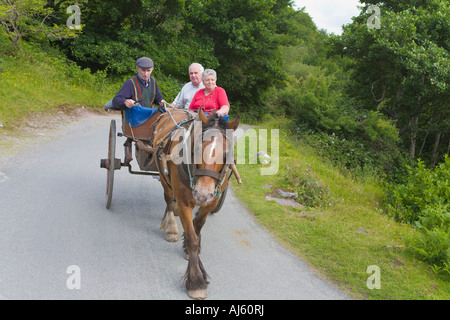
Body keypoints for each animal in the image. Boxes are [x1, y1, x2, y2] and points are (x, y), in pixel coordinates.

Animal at [152, 108, 239, 300]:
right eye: (197, 148)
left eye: (226, 155)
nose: (202, 193)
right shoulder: (185, 202)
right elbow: (193, 239)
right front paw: (196, 281)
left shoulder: (211, 202)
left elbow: (197, 228)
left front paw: (189, 250)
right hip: (163, 174)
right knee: (168, 197)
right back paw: (171, 226)